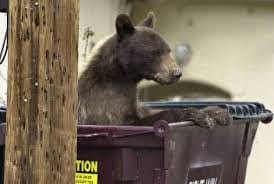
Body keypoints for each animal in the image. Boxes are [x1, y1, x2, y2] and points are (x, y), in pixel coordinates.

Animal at [77, 12, 231, 127]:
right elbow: (137, 121)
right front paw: (197, 115)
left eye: (168, 50)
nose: (177, 73)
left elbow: (147, 110)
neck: (121, 76)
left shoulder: (133, 101)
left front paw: (217, 111)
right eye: (155, 52)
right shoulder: (103, 106)